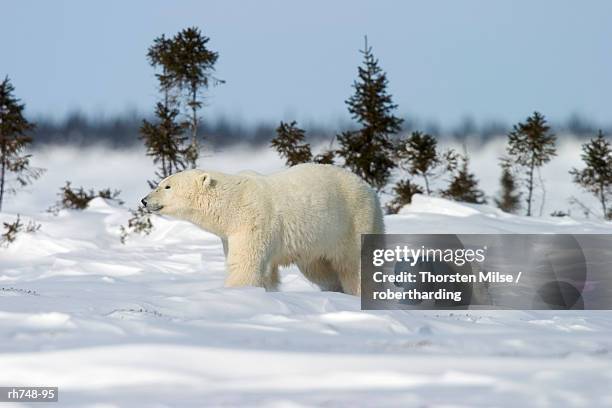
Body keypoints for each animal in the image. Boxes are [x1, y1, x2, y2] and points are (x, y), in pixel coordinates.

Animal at [141, 163, 384, 296]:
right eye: (161, 183)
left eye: (167, 186)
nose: (144, 200)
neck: (233, 203)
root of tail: (370, 189)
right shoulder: (230, 235)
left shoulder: (252, 223)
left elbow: (245, 265)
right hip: (317, 242)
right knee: (320, 270)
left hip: (354, 222)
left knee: (356, 265)